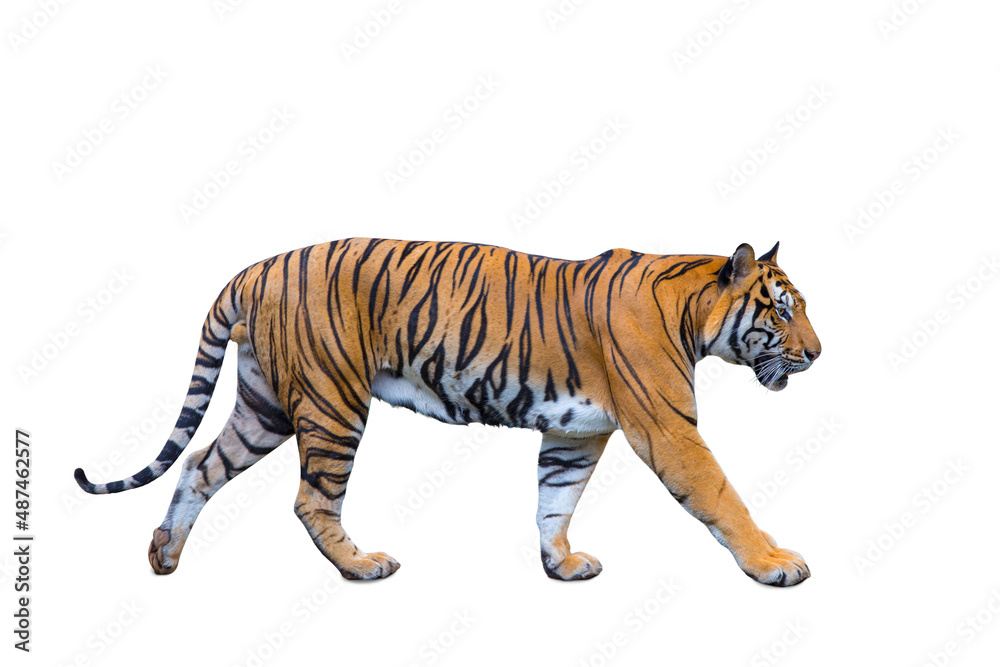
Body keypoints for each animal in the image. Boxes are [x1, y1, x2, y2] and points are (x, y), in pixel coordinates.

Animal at [75, 238, 821, 586]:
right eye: (783, 311)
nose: (817, 353)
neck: (695, 311)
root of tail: (256, 268)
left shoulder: (575, 436)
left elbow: (555, 500)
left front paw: (560, 565)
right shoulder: (668, 429)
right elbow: (723, 497)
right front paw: (775, 563)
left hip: (265, 406)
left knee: (201, 465)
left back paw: (164, 555)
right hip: (332, 401)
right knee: (311, 499)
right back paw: (362, 566)